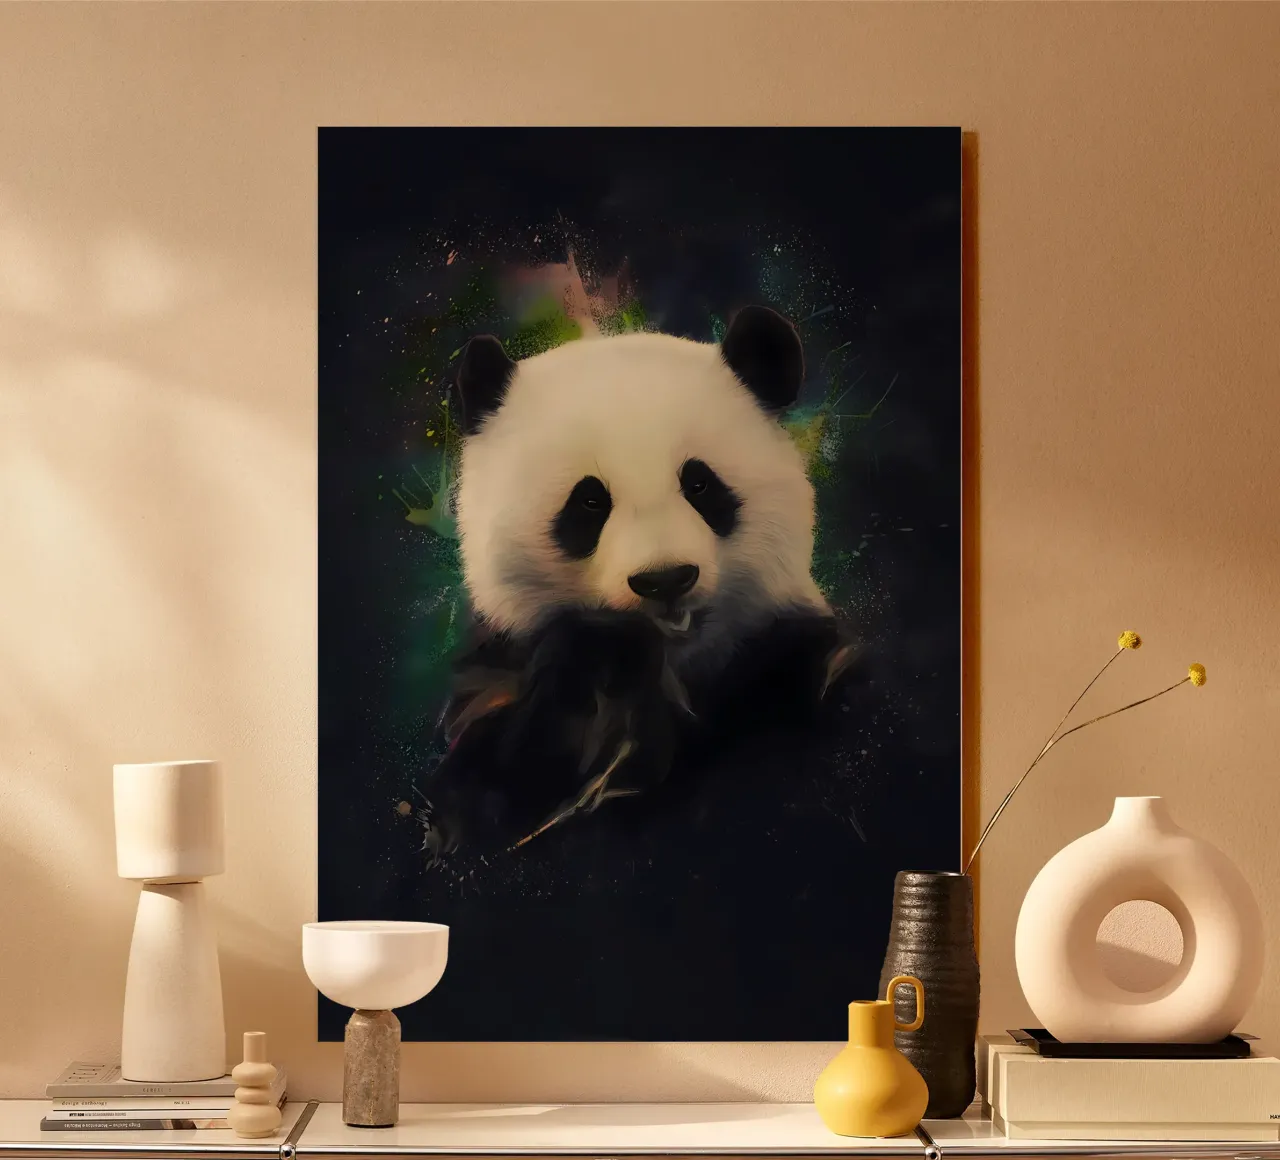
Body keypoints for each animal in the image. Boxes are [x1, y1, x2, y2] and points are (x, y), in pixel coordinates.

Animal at [423, 305, 857, 860]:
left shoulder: (792, 650)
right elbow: (493, 790)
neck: (673, 666)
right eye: (589, 501)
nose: (665, 580)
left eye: (700, 484)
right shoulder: (500, 670)